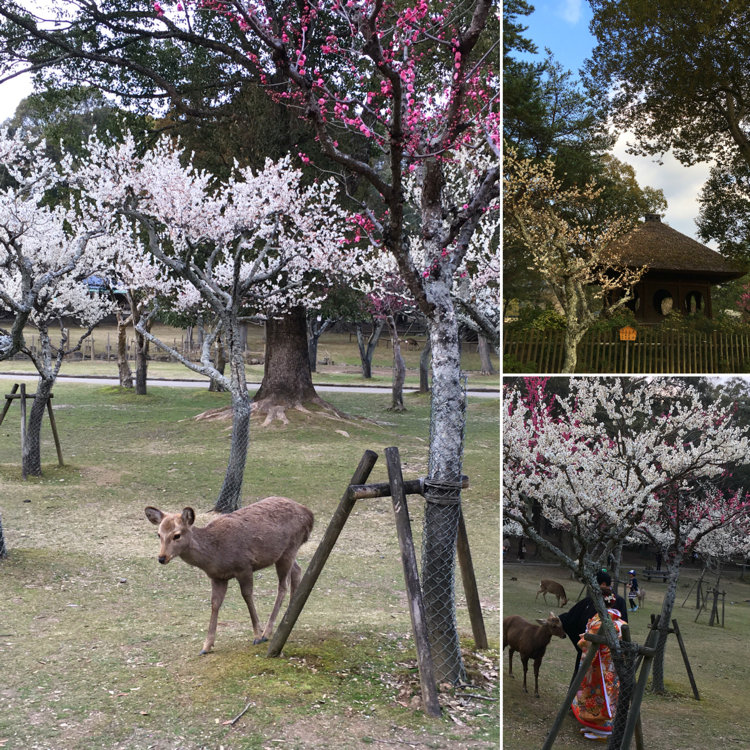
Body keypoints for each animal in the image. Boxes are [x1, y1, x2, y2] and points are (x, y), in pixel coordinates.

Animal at [145, 496, 312, 656]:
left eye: (177, 535)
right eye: (158, 534)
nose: (162, 558)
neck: (214, 555)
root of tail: (309, 515)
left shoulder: (244, 566)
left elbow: (247, 596)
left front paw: (257, 635)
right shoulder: (218, 577)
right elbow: (215, 603)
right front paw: (206, 646)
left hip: (290, 548)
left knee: (283, 586)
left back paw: (267, 632)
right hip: (285, 554)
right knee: (297, 570)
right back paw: (290, 616)